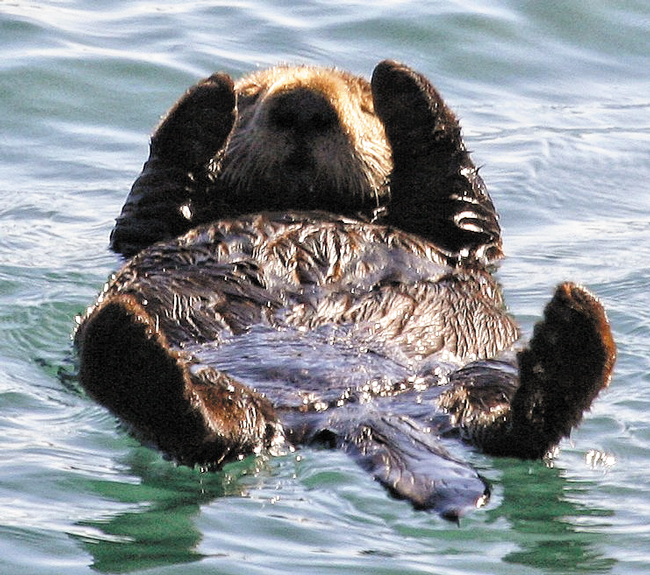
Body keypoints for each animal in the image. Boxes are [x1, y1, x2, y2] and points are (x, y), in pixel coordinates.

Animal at [76, 60, 612, 520]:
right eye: (251, 97)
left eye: (365, 106)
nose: (303, 105)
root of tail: (359, 411)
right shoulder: (143, 229)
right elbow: (156, 186)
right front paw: (211, 94)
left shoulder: (466, 238)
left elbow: (463, 198)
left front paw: (400, 82)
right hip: (230, 392)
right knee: (217, 433)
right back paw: (127, 345)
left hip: (477, 379)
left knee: (512, 431)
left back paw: (571, 335)